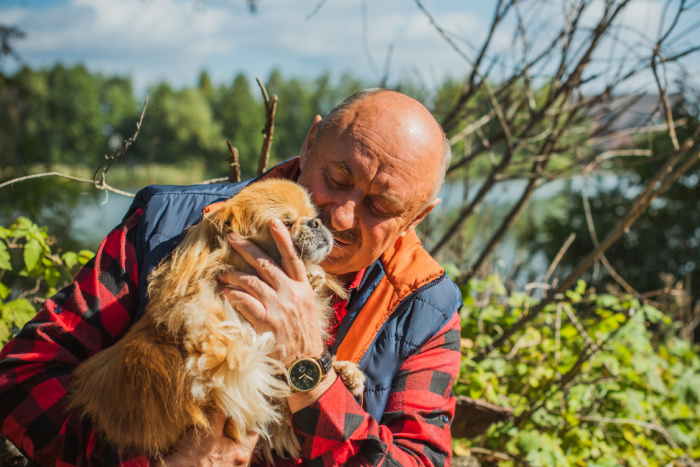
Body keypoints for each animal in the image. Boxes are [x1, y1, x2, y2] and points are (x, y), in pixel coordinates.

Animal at [67, 178, 366, 460]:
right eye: (286, 222)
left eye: (313, 215)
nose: (316, 222)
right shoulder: (213, 347)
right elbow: (238, 362)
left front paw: (344, 371)